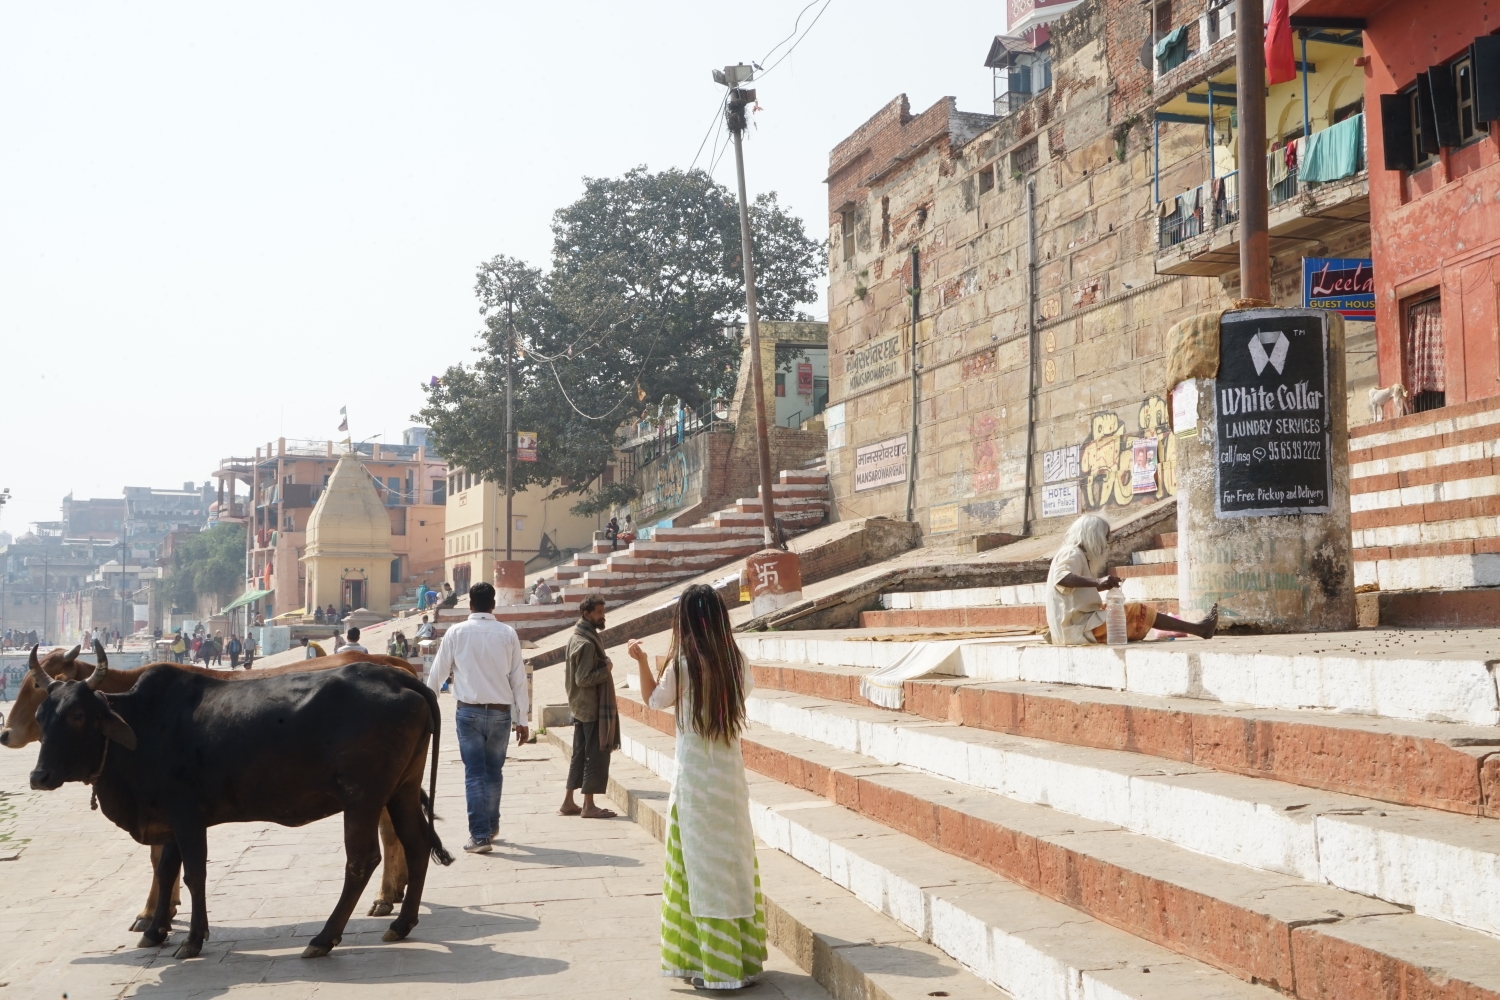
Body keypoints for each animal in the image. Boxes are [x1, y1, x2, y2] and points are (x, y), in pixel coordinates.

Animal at [27, 644, 450, 959]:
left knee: (362, 861)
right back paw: (401, 924)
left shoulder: (186, 814)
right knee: (417, 845)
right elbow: (166, 869)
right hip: (402, 789)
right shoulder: (170, 818)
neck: (142, 725)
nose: (39, 777)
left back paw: (323, 939)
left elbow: (194, 873)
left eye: (78, 715)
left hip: (363, 797)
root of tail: (399, 677)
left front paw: (192, 940)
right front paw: (156, 930)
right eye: (41, 715)